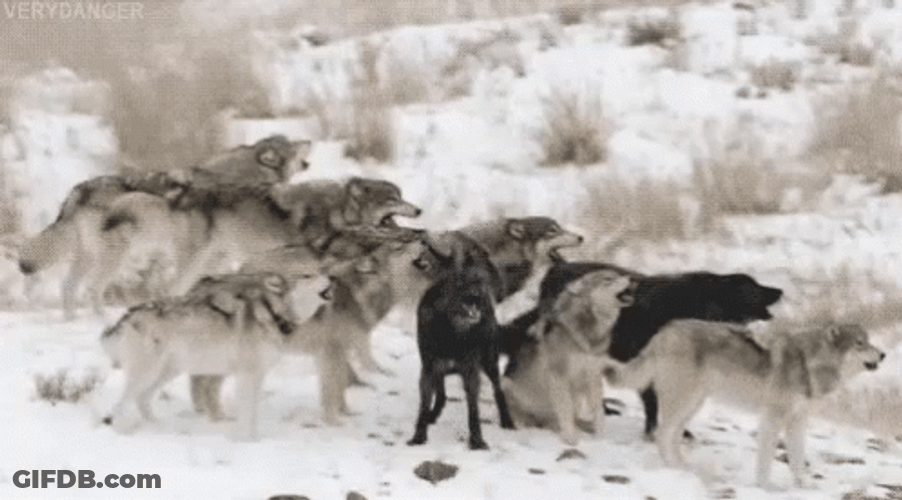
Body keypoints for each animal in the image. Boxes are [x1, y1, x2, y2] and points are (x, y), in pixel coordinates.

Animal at [18, 135, 313, 319]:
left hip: (89, 257)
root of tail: (78, 191)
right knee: (93, 288)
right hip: (115, 257)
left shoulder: (217, 254)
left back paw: (71, 320)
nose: (309, 141)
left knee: (69, 286)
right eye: (293, 145)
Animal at [100, 271, 329, 441]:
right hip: (147, 372)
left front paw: (254, 440)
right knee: (120, 405)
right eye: (308, 275)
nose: (330, 275)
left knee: (142, 399)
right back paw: (122, 433)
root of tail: (129, 313)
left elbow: (253, 414)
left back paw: (159, 428)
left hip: (167, 371)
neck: (274, 314)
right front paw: (245, 441)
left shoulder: (257, 377)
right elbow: (247, 413)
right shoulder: (247, 376)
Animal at [501, 268, 635, 445]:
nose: (633, 279)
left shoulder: (593, 377)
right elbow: (565, 410)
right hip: (506, 384)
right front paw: (571, 439)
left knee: (565, 419)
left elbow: (598, 413)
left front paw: (600, 438)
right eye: (608, 279)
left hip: (577, 396)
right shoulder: (559, 377)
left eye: (618, 274)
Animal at [602, 320, 885, 489]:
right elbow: (766, 460)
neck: (809, 362)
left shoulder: (798, 421)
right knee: (662, 434)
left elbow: (797, 459)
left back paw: (684, 468)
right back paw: (673, 469)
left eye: (869, 341)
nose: (883, 354)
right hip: (683, 402)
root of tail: (665, 330)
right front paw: (765, 488)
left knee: (670, 436)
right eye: (860, 343)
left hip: (692, 405)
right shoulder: (772, 418)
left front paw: (804, 486)